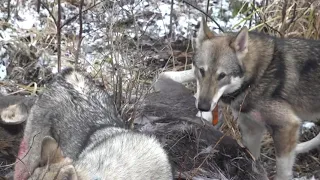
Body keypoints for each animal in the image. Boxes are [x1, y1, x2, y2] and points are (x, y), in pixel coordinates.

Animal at [161, 16, 320, 179]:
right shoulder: (251, 129)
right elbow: (253, 160)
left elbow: (282, 173)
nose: (203, 107)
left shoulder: (287, 126)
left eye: (222, 76)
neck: (257, 76)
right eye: (201, 71)